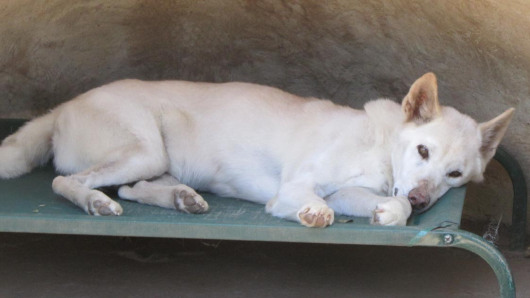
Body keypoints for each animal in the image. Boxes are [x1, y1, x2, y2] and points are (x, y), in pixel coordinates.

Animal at [0, 72, 512, 226]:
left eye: (455, 176)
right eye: (423, 151)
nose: (423, 200)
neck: (381, 143)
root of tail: (62, 106)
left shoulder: (352, 190)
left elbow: (386, 204)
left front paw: (391, 211)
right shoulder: (296, 187)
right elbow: (316, 204)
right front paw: (315, 214)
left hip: (155, 159)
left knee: (134, 188)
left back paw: (180, 198)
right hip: (141, 148)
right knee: (66, 180)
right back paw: (93, 201)